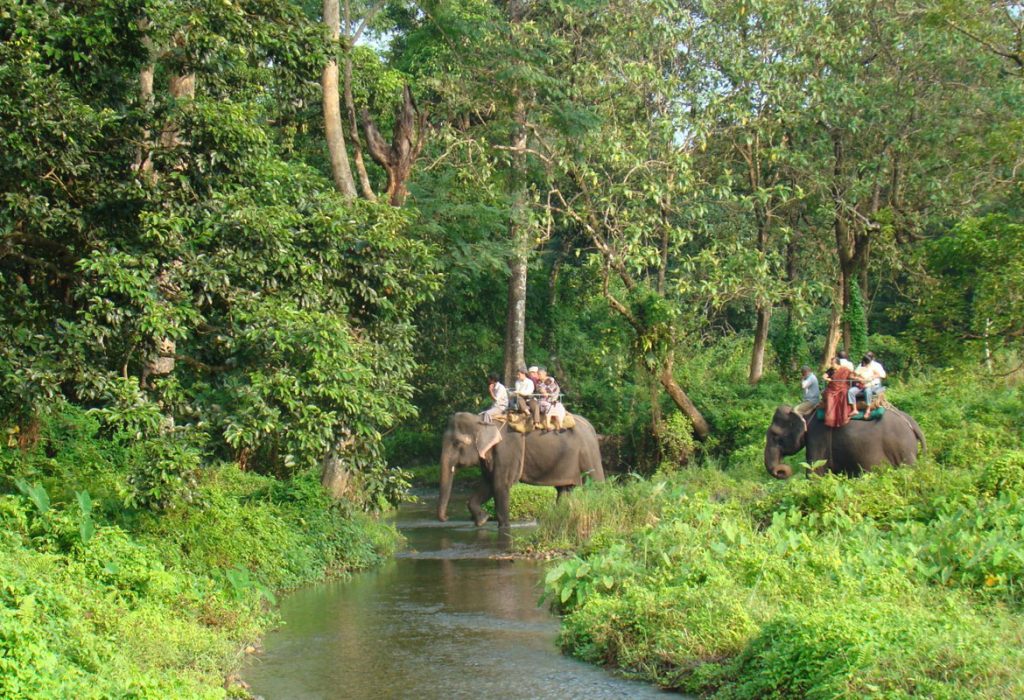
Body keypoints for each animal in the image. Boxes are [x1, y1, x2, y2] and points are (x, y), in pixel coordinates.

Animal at [436, 409, 602, 523]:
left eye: (457, 443)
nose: (446, 517)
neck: (482, 421)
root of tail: (591, 427)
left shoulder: (507, 451)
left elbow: (500, 485)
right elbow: (488, 484)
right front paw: (482, 520)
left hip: (589, 455)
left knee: (596, 486)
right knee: (564, 491)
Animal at [761, 405, 929, 480]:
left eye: (775, 436)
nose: (781, 470)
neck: (805, 412)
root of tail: (912, 424)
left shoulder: (817, 437)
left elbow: (815, 472)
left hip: (904, 450)